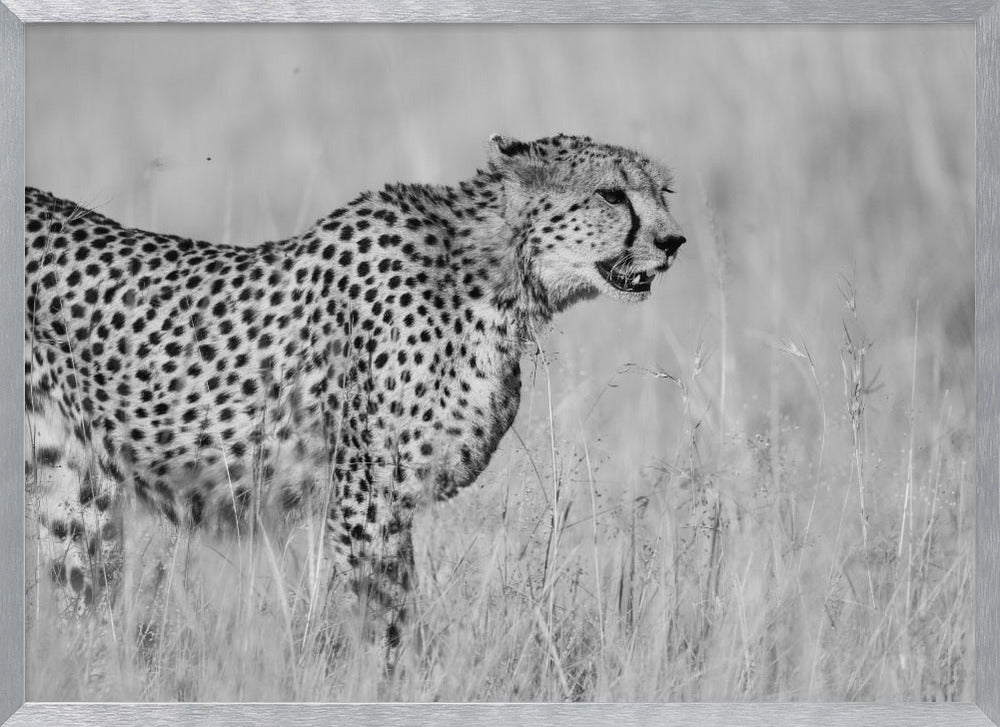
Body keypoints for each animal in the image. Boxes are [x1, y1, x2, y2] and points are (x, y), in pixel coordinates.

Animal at [24, 133, 686, 661]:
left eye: (663, 191)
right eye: (611, 195)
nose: (673, 241)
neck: (495, 275)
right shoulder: (367, 498)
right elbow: (387, 621)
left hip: (71, 483)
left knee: (79, 593)